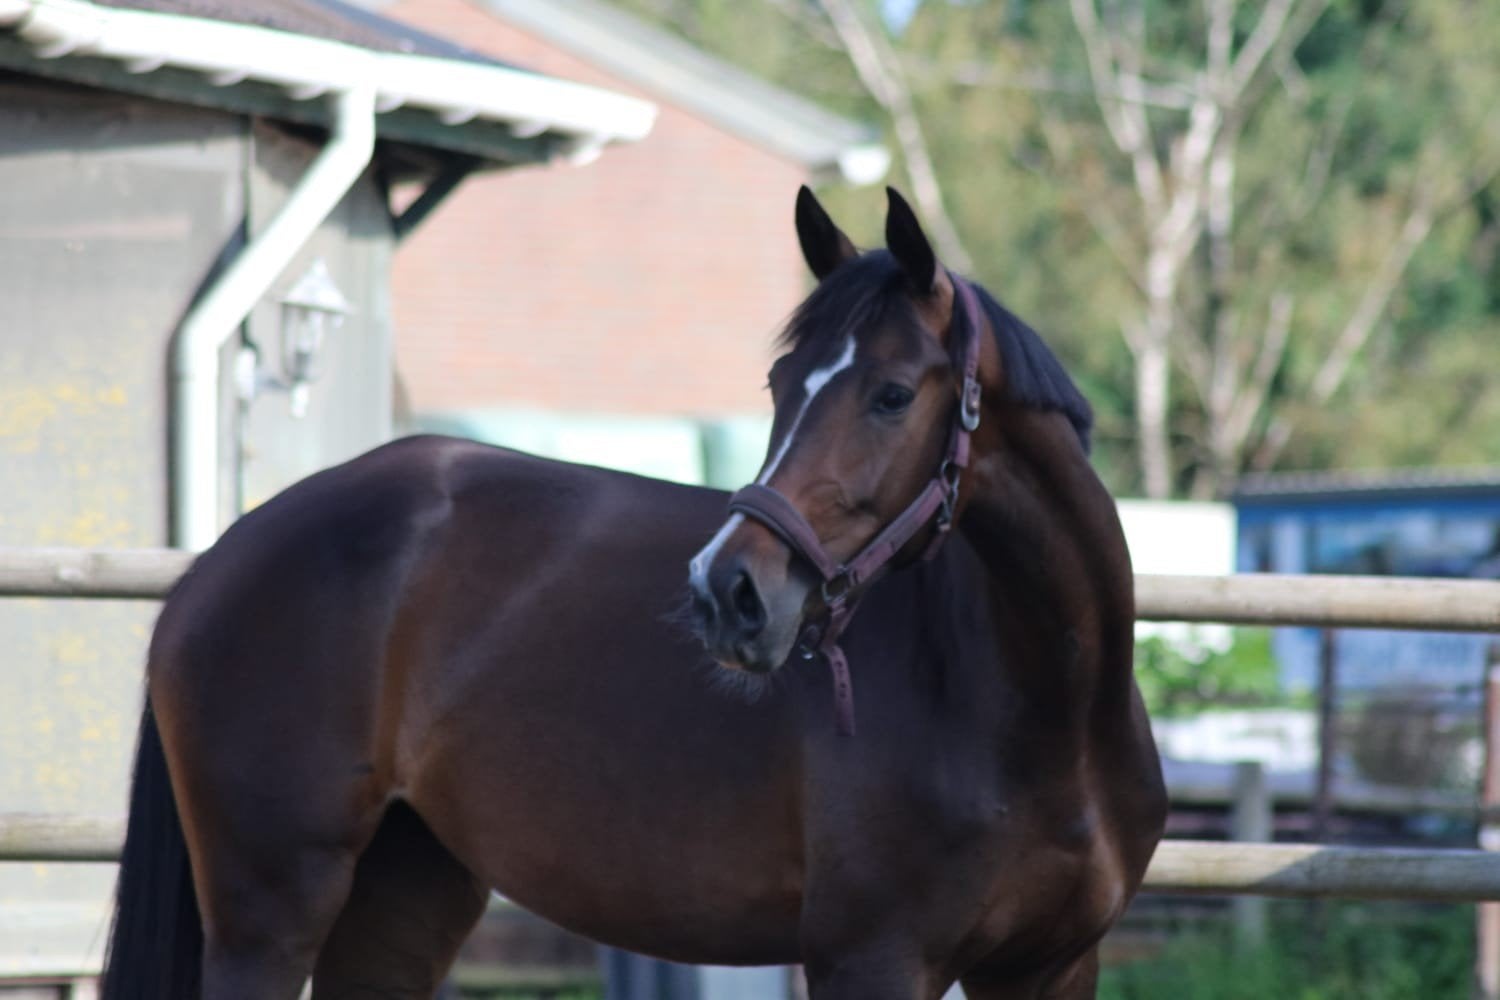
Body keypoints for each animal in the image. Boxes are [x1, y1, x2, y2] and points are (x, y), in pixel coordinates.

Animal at [101, 187, 1165, 1000]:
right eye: (780, 381)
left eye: (894, 393)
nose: (728, 592)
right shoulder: (873, 961)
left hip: (407, 894)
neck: (1041, 715)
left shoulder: (1051, 968)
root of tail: (218, 562)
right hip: (270, 911)